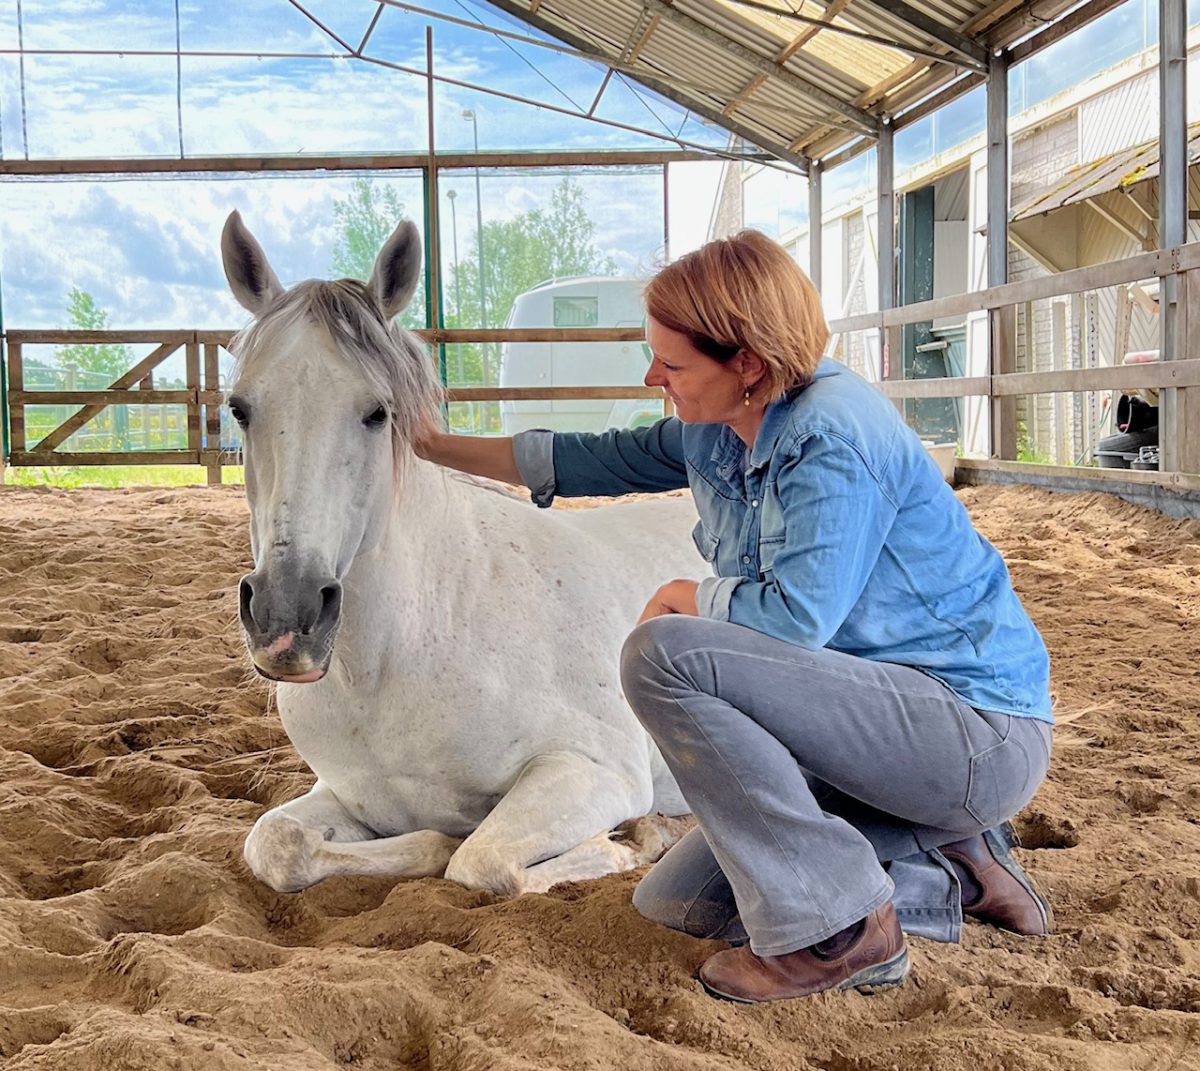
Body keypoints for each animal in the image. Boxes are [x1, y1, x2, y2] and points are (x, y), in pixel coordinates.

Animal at [220, 211, 704, 897]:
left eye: (377, 412)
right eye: (239, 408)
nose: (287, 619)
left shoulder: (596, 771)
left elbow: (482, 861)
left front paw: (636, 842)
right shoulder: (347, 797)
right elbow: (277, 842)